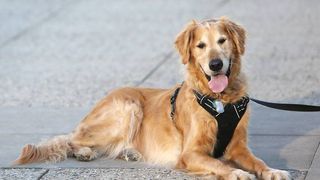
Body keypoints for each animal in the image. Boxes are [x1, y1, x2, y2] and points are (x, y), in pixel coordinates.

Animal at [15, 16, 290, 179]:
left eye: (222, 41)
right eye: (200, 46)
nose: (215, 64)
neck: (218, 100)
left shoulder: (239, 147)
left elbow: (258, 160)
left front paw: (272, 170)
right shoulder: (190, 153)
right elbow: (220, 164)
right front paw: (236, 173)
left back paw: (129, 152)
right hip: (128, 108)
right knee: (70, 139)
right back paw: (84, 152)